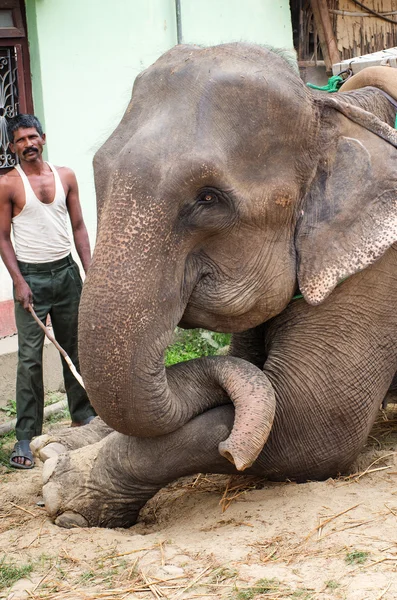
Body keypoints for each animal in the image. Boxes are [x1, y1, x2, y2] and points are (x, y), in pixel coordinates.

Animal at [34, 43, 397, 528]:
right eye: (98, 172)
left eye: (208, 198)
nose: (234, 453)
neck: (334, 110)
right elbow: (252, 372)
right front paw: (54, 449)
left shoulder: (379, 269)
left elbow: (312, 422)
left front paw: (64, 489)